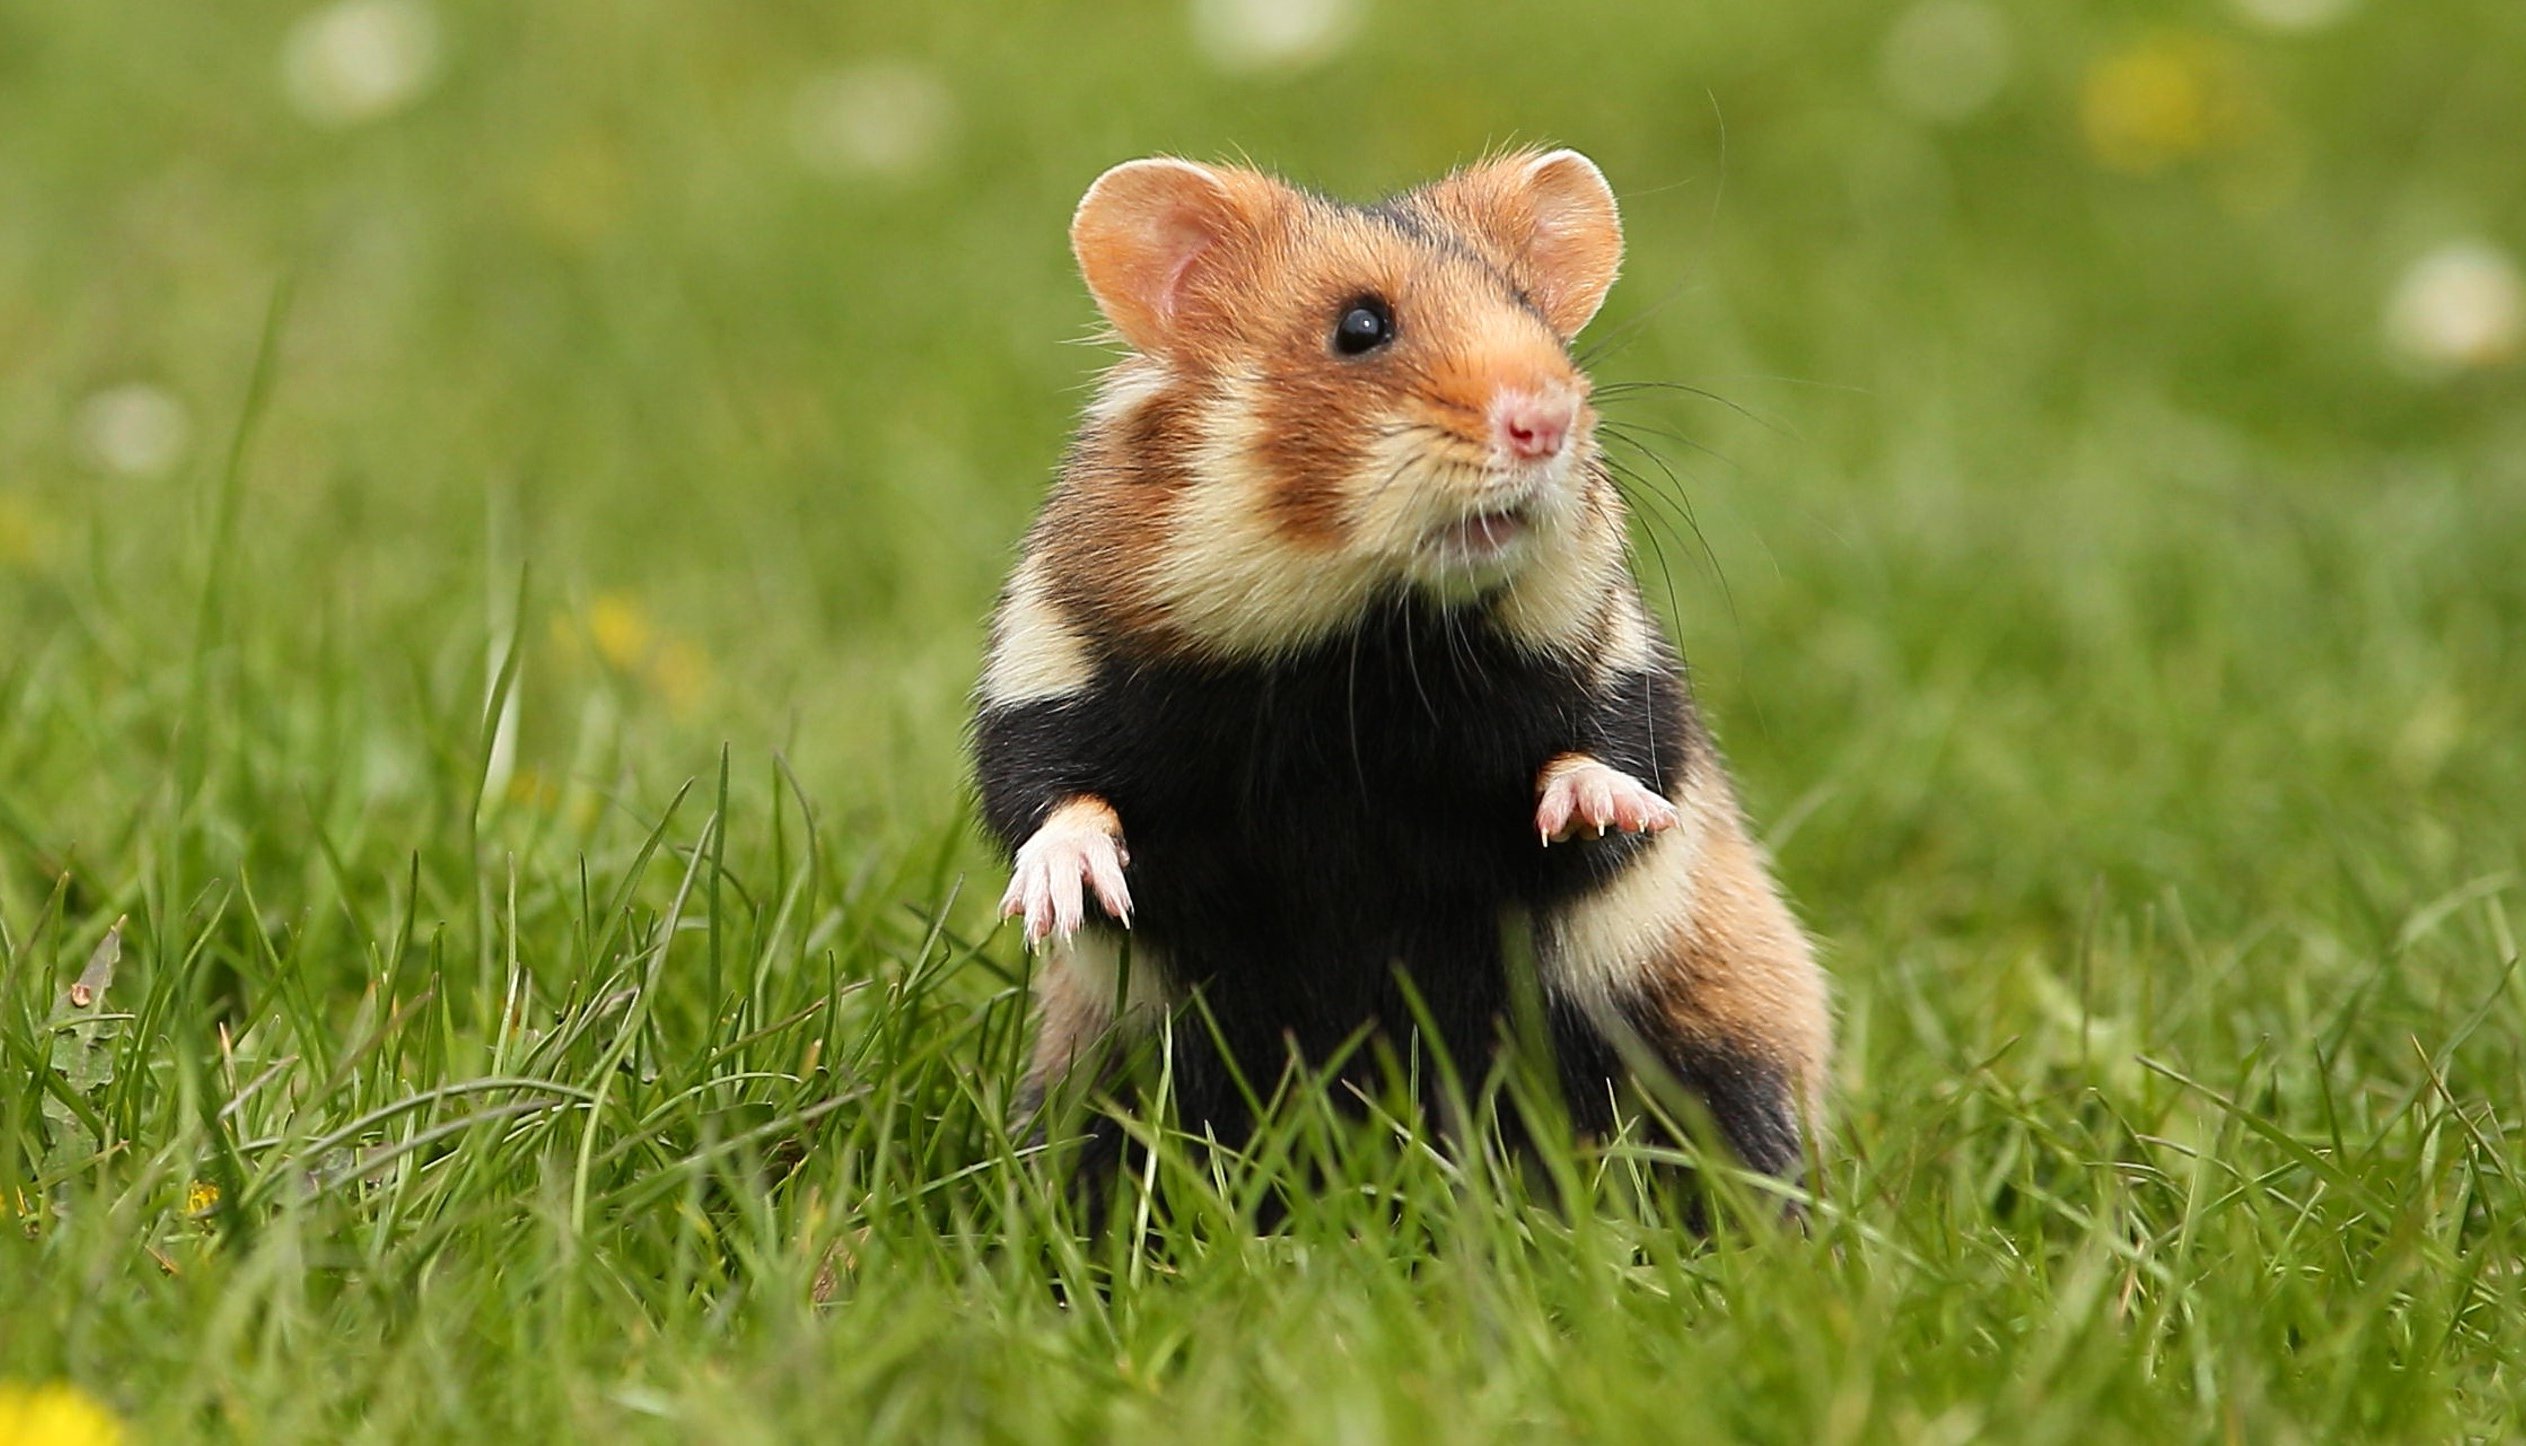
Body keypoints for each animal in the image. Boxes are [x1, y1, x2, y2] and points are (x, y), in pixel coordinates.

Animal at [971, 149, 1830, 1196]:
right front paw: (1060, 898)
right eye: (1361, 328)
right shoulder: (1052, 666)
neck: (1357, 649)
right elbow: (1051, 798)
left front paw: (1598, 807)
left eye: (1534, 315)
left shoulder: (1611, 666)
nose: (1547, 420)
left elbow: (1610, 755)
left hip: (1712, 1039)